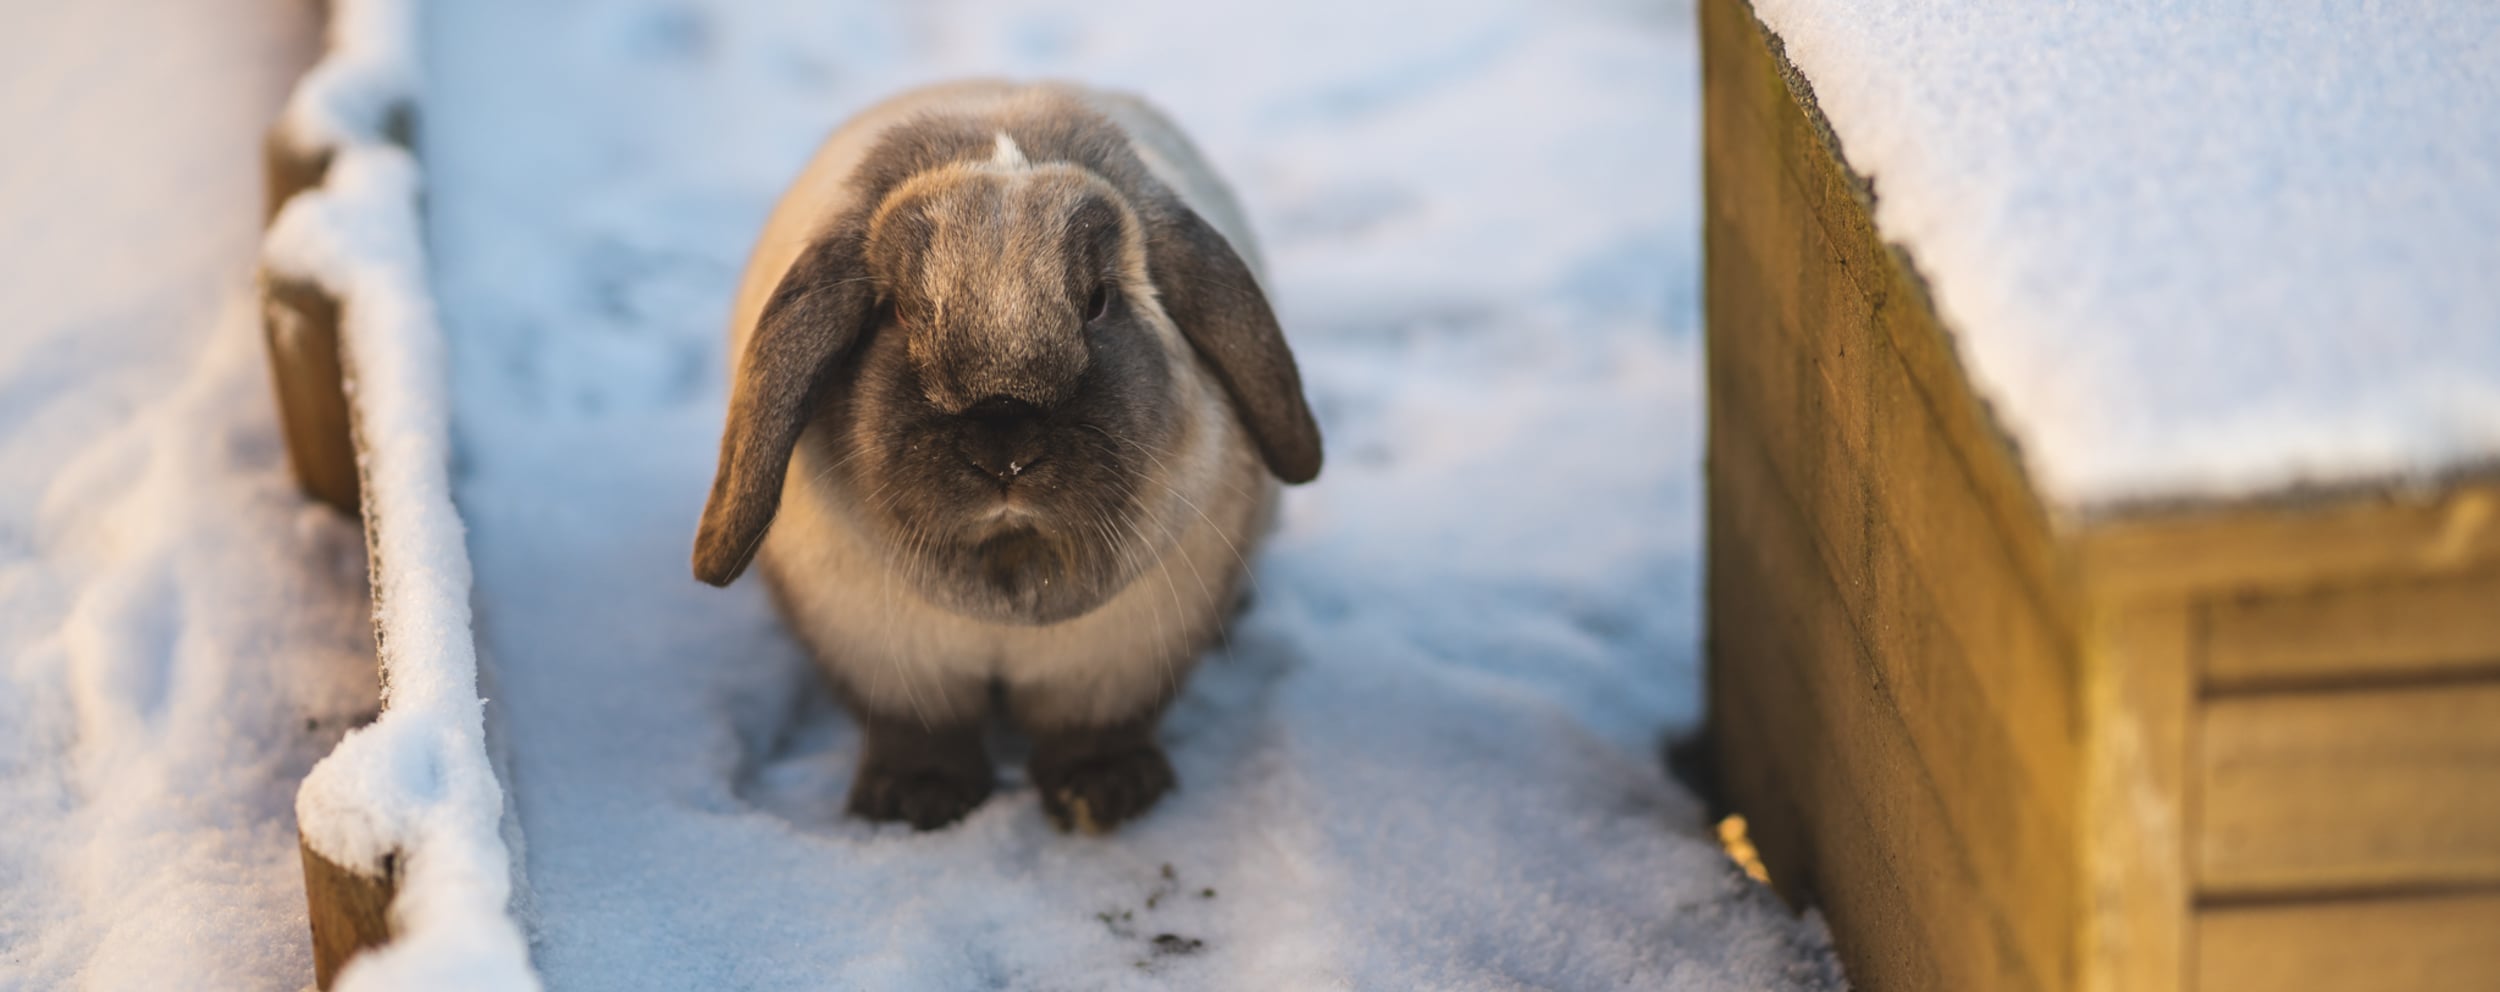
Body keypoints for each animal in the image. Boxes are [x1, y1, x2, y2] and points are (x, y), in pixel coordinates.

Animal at [685, 81, 1310, 829]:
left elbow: (1095, 728)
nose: (1004, 449)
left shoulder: (1118, 663)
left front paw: (1103, 794)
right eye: (896, 312)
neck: (1009, 588)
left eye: (1099, 301)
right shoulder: (884, 662)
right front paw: (917, 801)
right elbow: (918, 733)